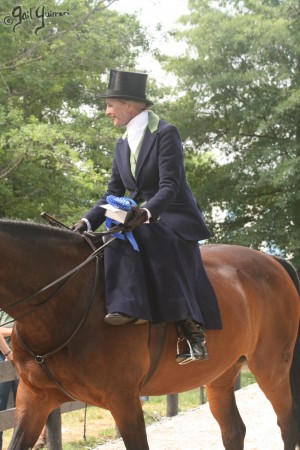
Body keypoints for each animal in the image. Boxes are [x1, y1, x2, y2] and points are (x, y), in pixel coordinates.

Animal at [0, 219, 298, 450]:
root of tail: (272, 260)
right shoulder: (33, 398)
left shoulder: (124, 400)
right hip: (221, 373)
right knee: (234, 431)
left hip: (271, 368)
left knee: (287, 423)